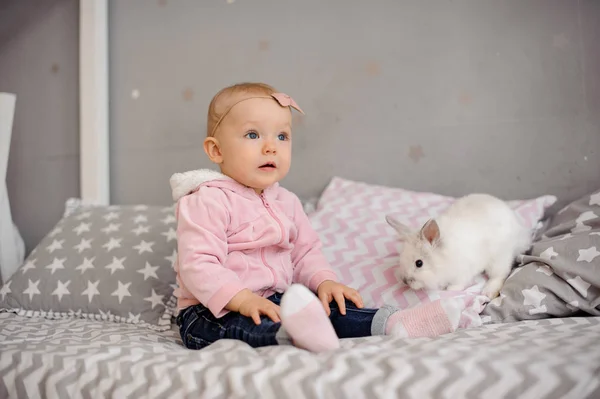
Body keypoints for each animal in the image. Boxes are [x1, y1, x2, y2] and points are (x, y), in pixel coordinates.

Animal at [384, 194, 528, 300]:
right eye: (401, 258)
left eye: (419, 263)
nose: (405, 281)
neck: (442, 261)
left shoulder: (462, 273)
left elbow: (458, 284)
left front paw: (450, 289)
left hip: (499, 259)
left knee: (500, 275)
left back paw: (488, 292)